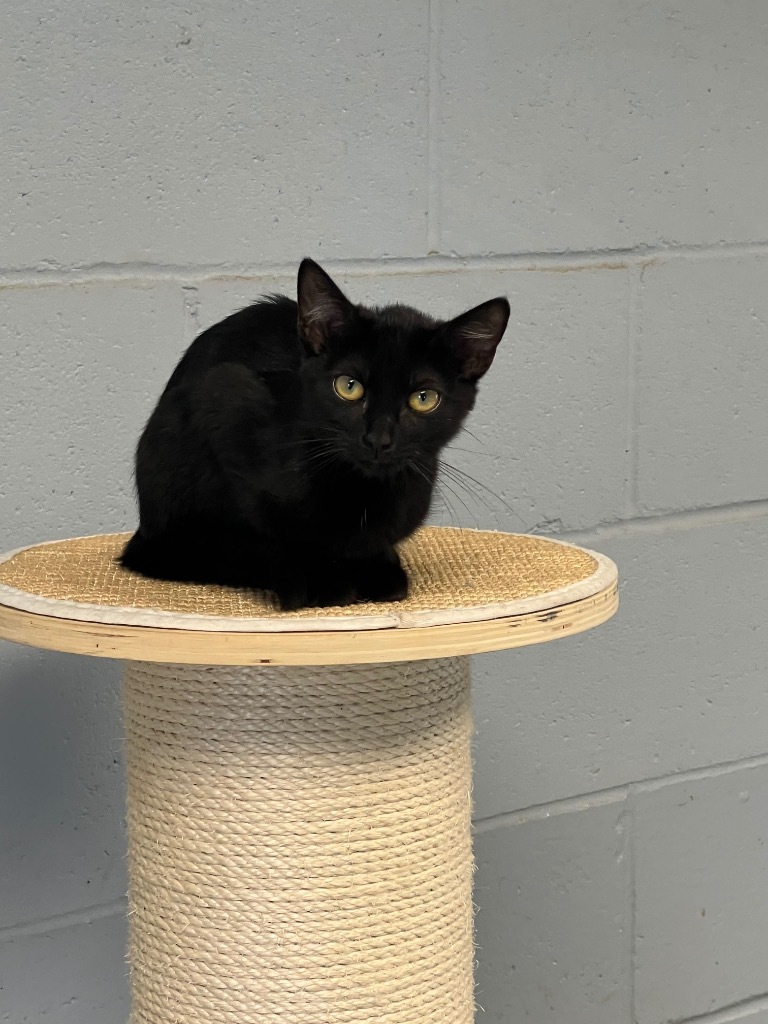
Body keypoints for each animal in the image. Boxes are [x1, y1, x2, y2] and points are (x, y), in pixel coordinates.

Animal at [121, 260, 512, 606]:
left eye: (424, 398)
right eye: (349, 386)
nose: (378, 439)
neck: (361, 494)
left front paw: (378, 568)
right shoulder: (225, 397)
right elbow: (266, 538)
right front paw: (319, 580)